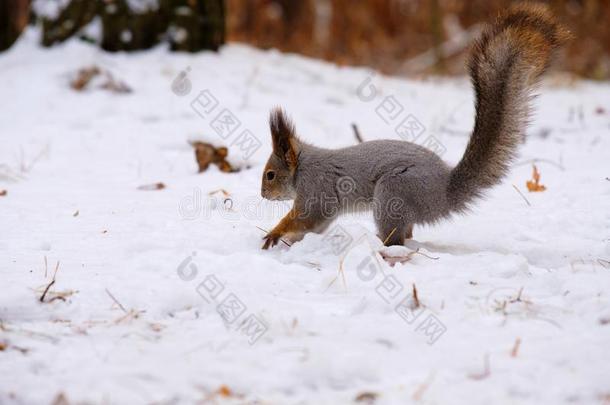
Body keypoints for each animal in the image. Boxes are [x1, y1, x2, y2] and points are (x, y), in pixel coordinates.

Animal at [258, 3, 568, 249]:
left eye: (271, 174)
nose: (262, 194)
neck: (302, 167)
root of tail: (443, 193)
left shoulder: (317, 190)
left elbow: (307, 218)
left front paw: (275, 233)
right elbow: (314, 226)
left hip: (393, 192)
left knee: (396, 239)